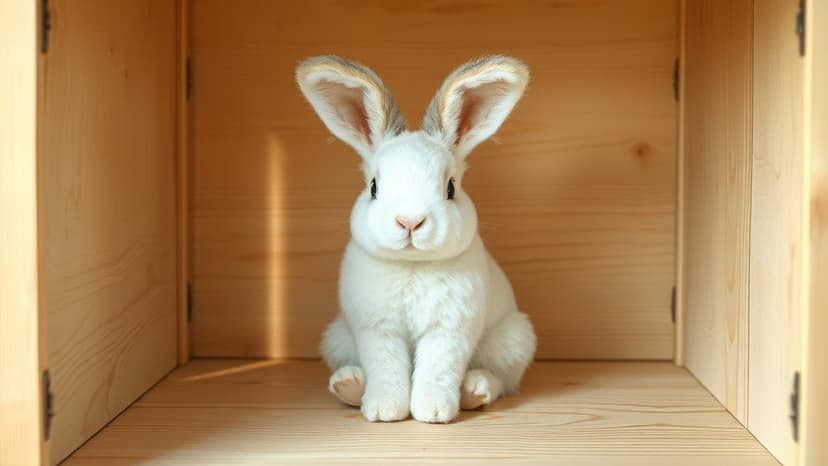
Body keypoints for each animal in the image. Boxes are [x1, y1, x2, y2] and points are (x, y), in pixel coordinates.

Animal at [295, 55, 536, 423]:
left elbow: (438, 369)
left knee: (500, 380)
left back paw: (474, 389)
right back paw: (349, 384)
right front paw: (384, 410)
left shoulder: (449, 329)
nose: (410, 221)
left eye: (450, 188)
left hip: (513, 340)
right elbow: (386, 368)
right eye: (374, 187)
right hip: (336, 338)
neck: (412, 265)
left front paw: (433, 411)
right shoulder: (377, 329)